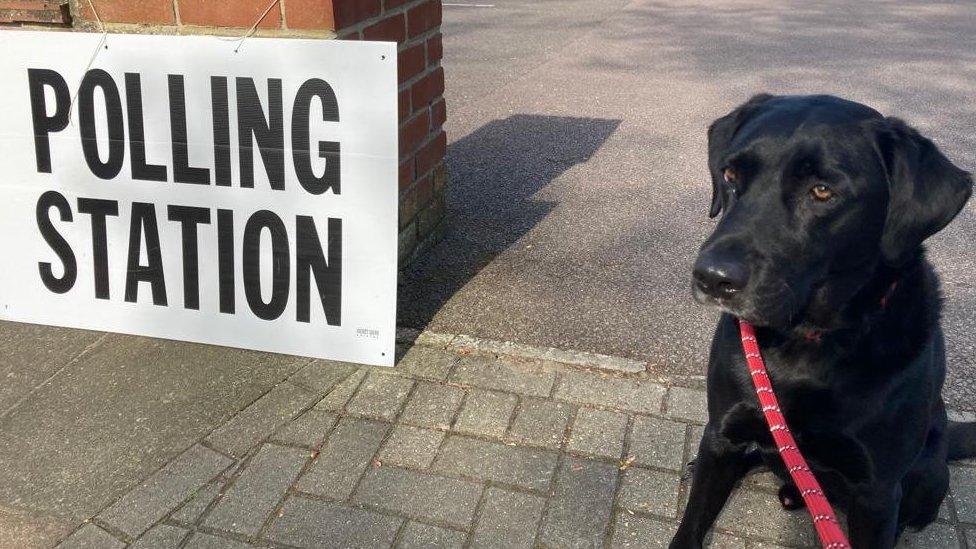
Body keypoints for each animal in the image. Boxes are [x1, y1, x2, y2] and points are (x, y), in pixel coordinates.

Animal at [672, 95, 976, 548]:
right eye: (730, 175)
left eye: (822, 191)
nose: (711, 277)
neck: (804, 341)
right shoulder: (722, 435)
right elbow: (691, 522)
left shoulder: (877, 493)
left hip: (927, 477)